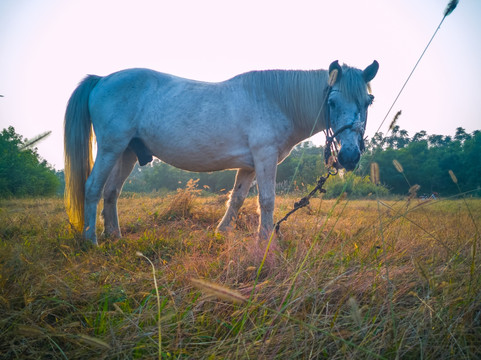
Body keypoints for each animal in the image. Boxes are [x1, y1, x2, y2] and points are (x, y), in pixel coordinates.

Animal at [64, 60, 378, 245]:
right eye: (332, 102)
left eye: (368, 101)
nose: (350, 157)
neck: (276, 100)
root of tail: (102, 79)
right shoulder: (265, 157)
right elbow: (266, 201)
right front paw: (266, 241)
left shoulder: (249, 165)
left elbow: (236, 199)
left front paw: (222, 232)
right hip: (110, 148)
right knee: (93, 188)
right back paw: (91, 240)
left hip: (127, 153)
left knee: (111, 192)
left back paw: (114, 237)